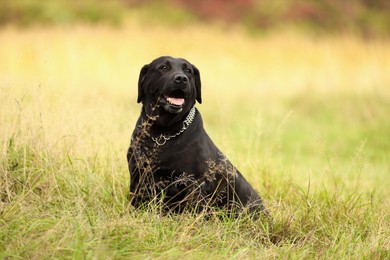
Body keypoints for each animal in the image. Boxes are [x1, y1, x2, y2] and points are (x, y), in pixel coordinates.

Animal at [126, 56, 266, 217]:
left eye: (188, 71)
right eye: (163, 67)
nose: (181, 78)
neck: (162, 132)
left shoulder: (195, 184)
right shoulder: (138, 177)